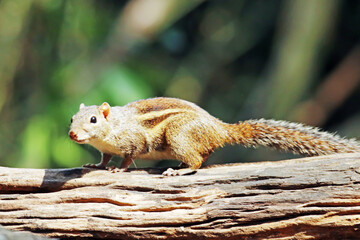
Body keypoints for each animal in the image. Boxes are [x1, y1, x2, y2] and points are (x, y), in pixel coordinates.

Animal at [68, 96, 360, 175]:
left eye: (93, 119)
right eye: (71, 118)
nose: (71, 134)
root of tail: (219, 129)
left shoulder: (133, 141)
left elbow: (130, 156)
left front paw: (119, 169)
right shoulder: (106, 149)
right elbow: (104, 158)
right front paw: (96, 165)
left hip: (178, 135)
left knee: (198, 161)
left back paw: (180, 170)